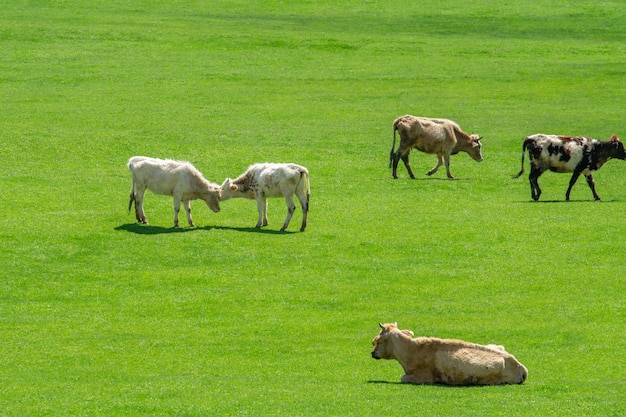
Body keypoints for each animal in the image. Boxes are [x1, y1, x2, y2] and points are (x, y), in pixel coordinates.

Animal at [370, 322, 528, 386]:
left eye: (379, 341)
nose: (372, 353)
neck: (411, 350)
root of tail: (519, 366)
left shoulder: (424, 377)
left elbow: (403, 378)